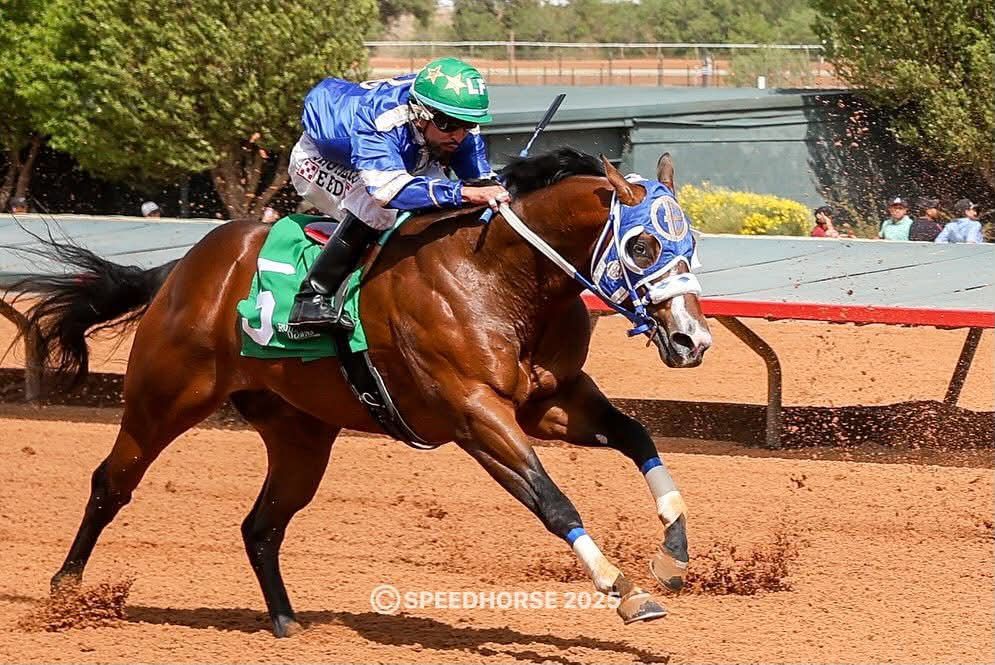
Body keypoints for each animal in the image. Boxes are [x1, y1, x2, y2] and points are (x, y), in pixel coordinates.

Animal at [8, 147, 712, 636]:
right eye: (642, 243)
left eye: (691, 242)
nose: (692, 339)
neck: (497, 276)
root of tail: (181, 268)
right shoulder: (474, 414)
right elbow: (552, 499)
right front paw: (623, 589)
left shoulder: (552, 399)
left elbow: (636, 436)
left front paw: (672, 557)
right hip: (164, 398)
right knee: (111, 483)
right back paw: (65, 593)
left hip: (300, 434)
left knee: (261, 525)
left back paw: (287, 621)